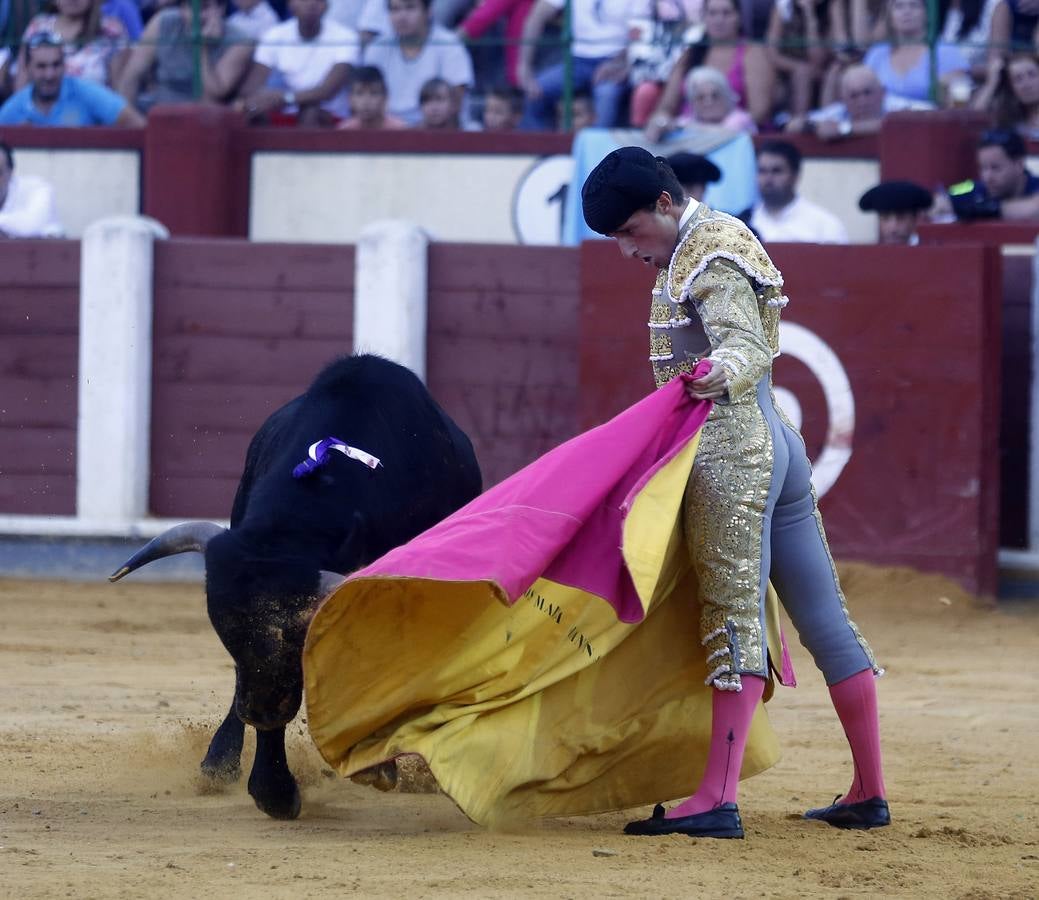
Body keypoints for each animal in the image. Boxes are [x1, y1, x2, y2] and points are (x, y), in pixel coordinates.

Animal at [107, 353, 480, 818]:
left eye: (297, 633)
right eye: (225, 633)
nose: (261, 712)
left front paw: (379, 763)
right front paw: (275, 791)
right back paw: (219, 762)